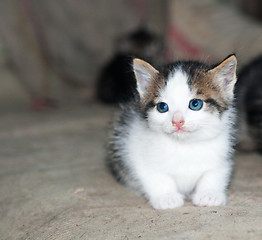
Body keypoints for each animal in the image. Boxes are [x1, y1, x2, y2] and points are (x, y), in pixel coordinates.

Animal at [106, 55, 237, 209]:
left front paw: (209, 194)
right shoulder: (133, 146)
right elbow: (154, 175)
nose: (177, 121)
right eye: (162, 107)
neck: (185, 145)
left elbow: (215, 172)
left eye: (195, 104)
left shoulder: (222, 154)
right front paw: (166, 197)